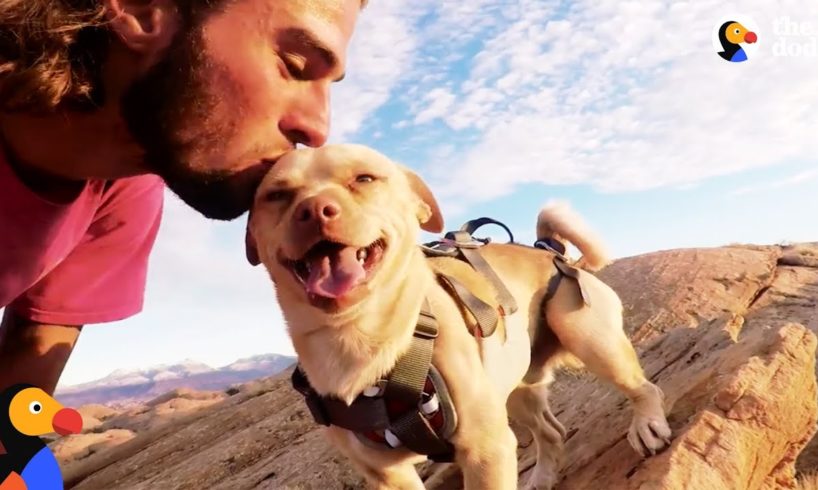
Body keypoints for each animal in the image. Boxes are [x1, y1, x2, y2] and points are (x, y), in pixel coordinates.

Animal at [249, 145, 668, 490]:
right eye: (277, 195)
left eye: (364, 178)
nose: (314, 210)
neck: (356, 338)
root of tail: (547, 248)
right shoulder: (388, 475)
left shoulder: (486, 450)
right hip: (516, 392)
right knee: (552, 431)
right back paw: (544, 476)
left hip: (588, 337)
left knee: (643, 388)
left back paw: (647, 425)